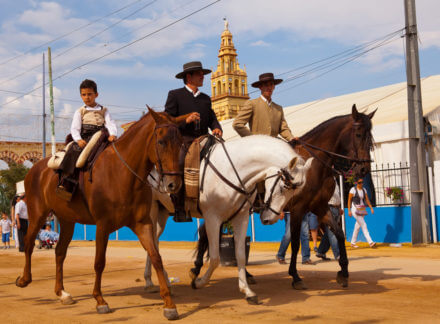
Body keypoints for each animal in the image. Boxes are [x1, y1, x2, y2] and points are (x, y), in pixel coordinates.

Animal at [15, 109, 189, 322]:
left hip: (67, 221)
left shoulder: (143, 223)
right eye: (161, 142)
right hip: (37, 214)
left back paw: (62, 293)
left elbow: (156, 256)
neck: (122, 173)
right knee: (29, 243)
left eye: (181, 142)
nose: (174, 184)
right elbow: (99, 262)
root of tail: (35, 169)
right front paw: (100, 301)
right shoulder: (103, 225)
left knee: (60, 252)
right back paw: (24, 279)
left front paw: (169, 305)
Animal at [144, 135, 312, 302]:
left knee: (154, 242)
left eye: (294, 192)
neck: (233, 170)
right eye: (283, 187)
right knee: (151, 242)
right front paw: (198, 282)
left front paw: (247, 291)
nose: (270, 219)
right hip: (150, 212)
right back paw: (151, 281)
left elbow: (240, 255)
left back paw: (161, 280)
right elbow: (215, 258)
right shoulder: (213, 219)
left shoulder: (241, 218)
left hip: (162, 212)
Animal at [288, 104, 374, 288]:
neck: (312, 164)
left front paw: (343, 271)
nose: (364, 169)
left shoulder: (319, 206)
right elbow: (296, 242)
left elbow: (339, 234)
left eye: (370, 136)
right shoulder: (297, 209)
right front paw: (295, 276)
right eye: (358, 134)